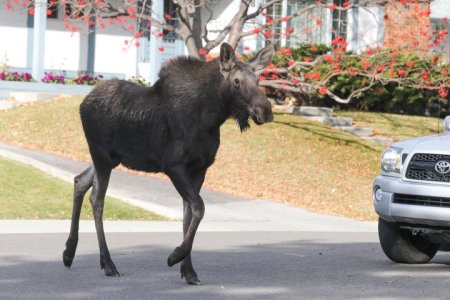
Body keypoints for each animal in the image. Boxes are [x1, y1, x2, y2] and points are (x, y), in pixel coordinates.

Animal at [62, 41, 274, 284]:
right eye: (237, 81)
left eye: (258, 79)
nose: (266, 111)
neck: (211, 118)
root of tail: (83, 103)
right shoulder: (173, 166)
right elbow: (199, 207)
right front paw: (175, 256)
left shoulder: (200, 168)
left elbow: (189, 213)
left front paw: (188, 271)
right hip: (102, 156)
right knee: (96, 198)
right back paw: (107, 263)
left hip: (109, 158)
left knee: (80, 181)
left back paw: (69, 253)